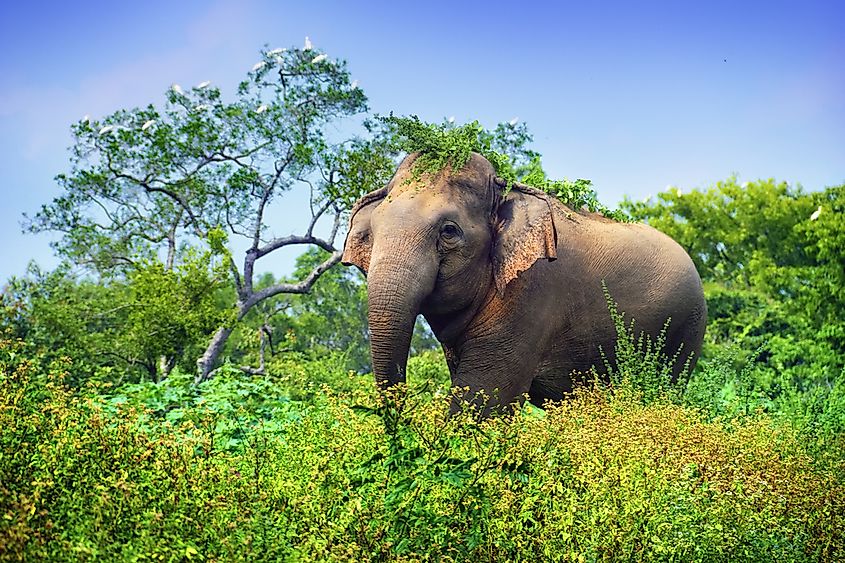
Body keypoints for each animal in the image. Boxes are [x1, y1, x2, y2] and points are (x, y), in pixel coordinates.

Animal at [342, 152, 707, 415]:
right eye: (372, 232)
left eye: (448, 231)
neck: (506, 189)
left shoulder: (531, 295)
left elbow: (484, 400)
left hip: (686, 328)